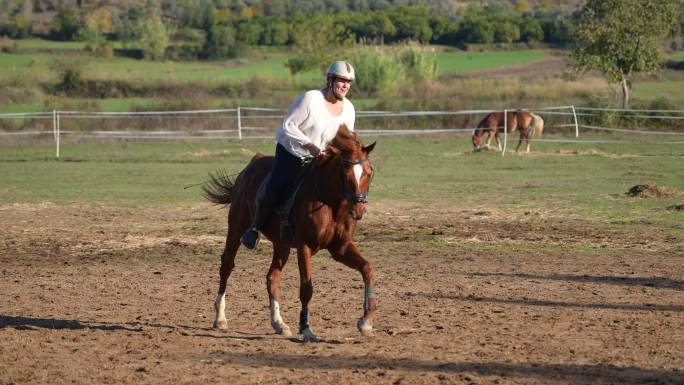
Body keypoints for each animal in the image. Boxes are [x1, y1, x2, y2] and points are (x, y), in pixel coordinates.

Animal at [203, 124, 376, 340]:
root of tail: (252, 164)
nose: (359, 209)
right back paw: (220, 318)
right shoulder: (304, 247)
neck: (330, 202)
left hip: (281, 245)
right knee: (226, 266)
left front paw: (366, 321)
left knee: (272, 278)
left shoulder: (340, 248)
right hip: (236, 228)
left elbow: (367, 269)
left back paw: (279, 323)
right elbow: (306, 287)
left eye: (369, 172)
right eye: (345, 175)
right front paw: (306, 328)